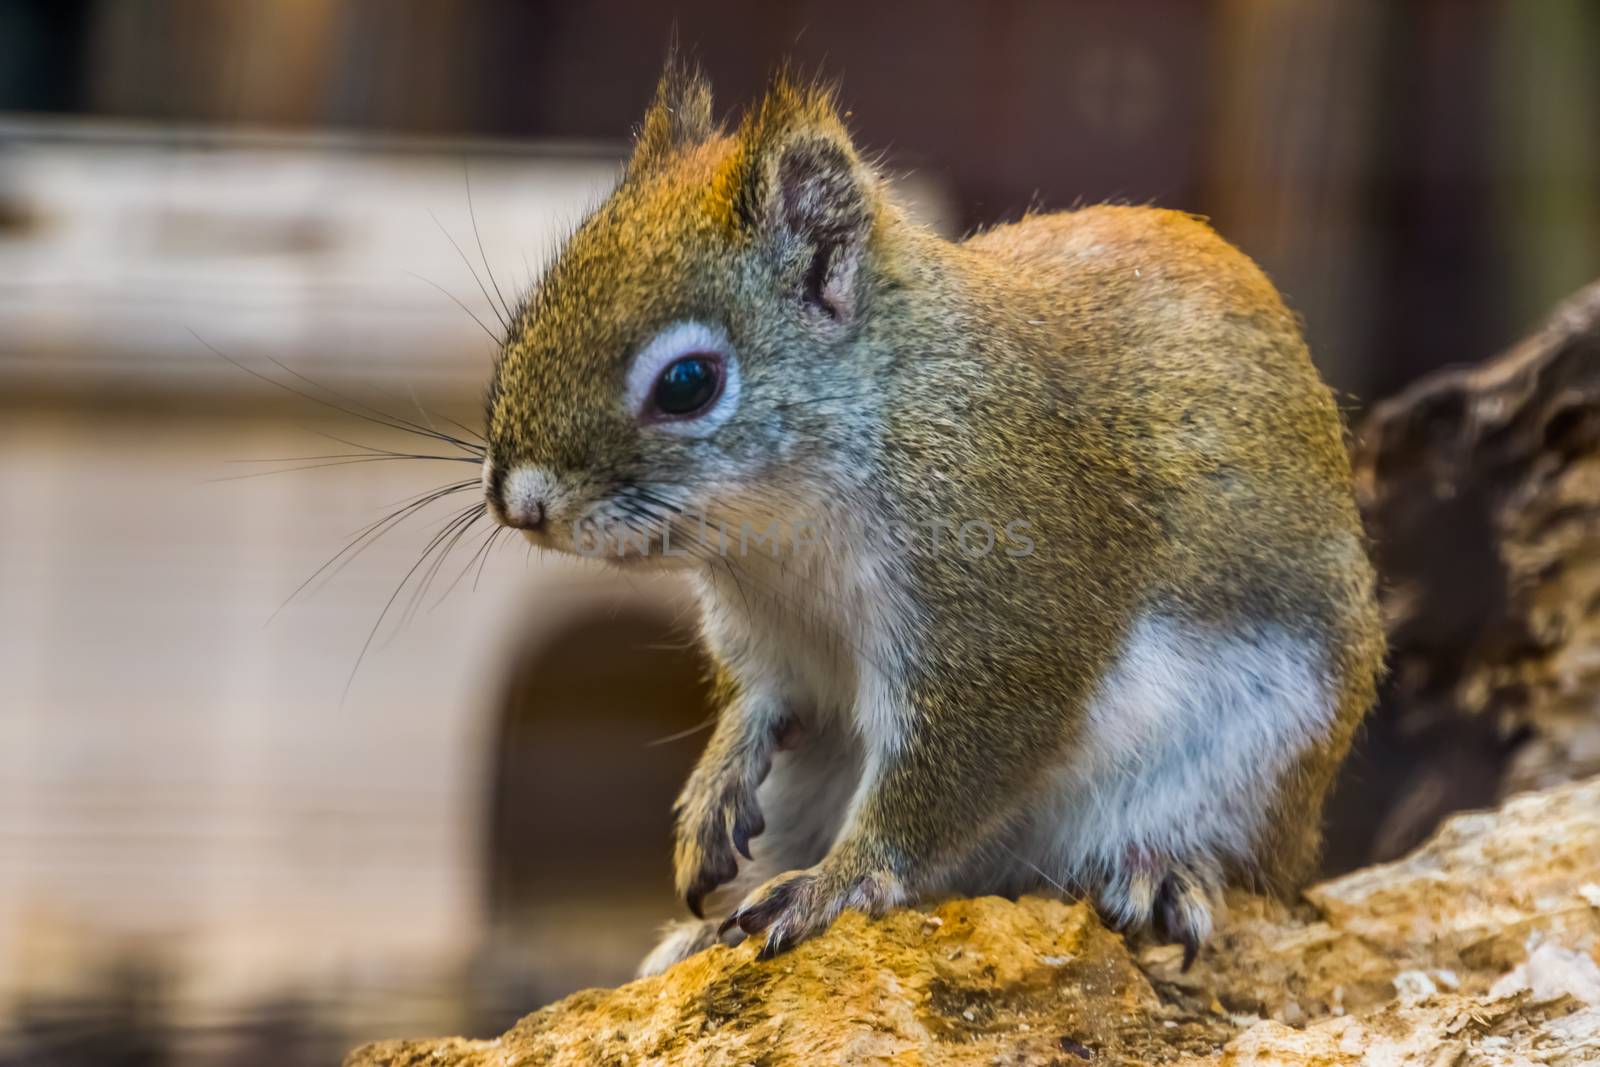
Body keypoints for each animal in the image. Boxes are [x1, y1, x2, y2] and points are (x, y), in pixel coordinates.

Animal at [476, 58, 1388, 979]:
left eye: (688, 383)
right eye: (527, 317)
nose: (520, 502)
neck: (779, 528)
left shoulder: (1000, 626)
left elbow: (939, 784)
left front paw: (838, 879)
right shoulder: (770, 638)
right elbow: (758, 699)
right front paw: (713, 790)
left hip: (1251, 758)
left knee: (1230, 858)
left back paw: (1161, 868)